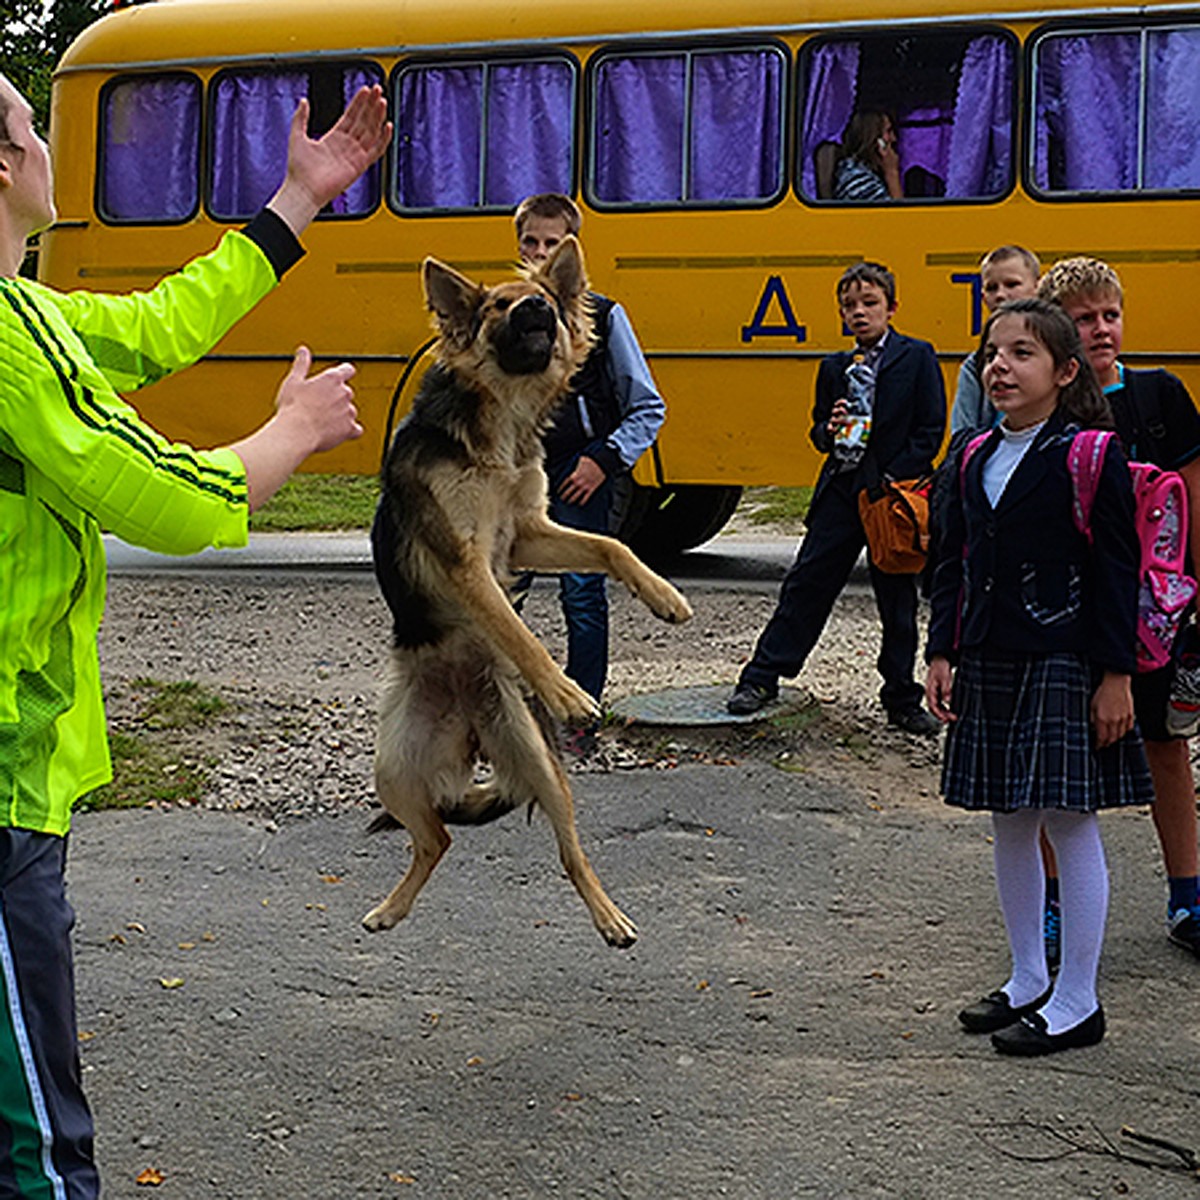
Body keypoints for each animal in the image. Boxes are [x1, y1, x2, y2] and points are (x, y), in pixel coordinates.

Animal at [360, 236, 691, 945]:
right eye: (497, 307)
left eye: (538, 298)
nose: (538, 307)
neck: (501, 426)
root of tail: (468, 726)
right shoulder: (467, 562)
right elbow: (517, 630)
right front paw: (566, 691)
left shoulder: (527, 534)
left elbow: (612, 547)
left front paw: (664, 596)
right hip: (392, 769)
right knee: (434, 841)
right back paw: (391, 909)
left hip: (537, 762)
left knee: (567, 853)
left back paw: (609, 917)